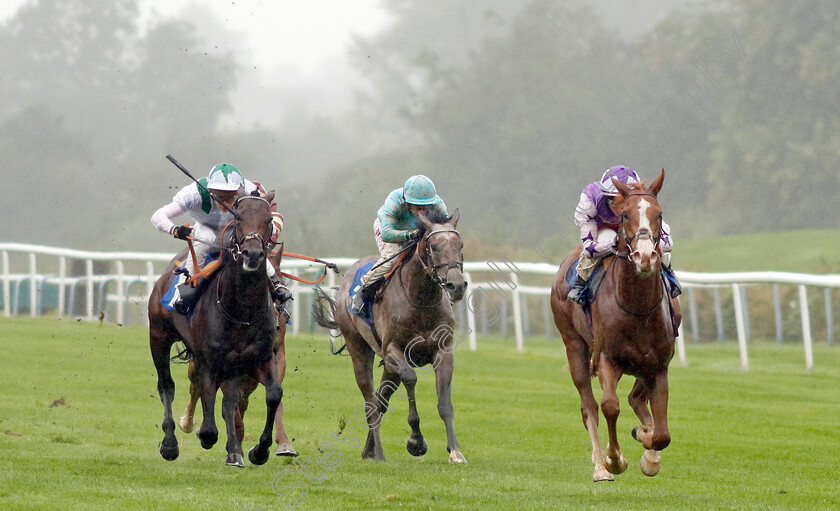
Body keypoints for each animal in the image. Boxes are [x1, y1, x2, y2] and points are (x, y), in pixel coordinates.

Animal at [150, 191, 282, 468]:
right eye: (238, 217)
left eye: (268, 220)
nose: (253, 254)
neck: (242, 310)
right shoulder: (210, 359)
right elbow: (207, 397)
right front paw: (205, 434)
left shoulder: (259, 358)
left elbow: (273, 394)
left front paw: (259, 450)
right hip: (159, 336)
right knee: (167, 385)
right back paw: (170, 444)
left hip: (232, 366)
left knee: (229, 401)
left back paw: (234, 451)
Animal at [176, 247, 296, 456]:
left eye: (278, 287)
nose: (275, 325)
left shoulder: (276, 357)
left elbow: (275, 398)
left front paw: (283, 443)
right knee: (196, 388)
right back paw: (189, 423)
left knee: (241, 400)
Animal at [314, 210, 470, 462]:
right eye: (434, 246)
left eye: (460, 245)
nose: (456, 285)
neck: (420, 300)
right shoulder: (393, 350)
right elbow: (411, 379)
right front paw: (416, 441)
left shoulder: (443, 352)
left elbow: (445, 403)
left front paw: (455, 451)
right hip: (360, 350)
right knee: (370, 402)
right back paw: (378, 452)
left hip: (388, 367)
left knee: (381, 399)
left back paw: (368, 450)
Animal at [552, 172, 684, 484]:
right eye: (625, 215)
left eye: (659, 214)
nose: (645, 256)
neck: (637, 308)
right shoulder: (606, 358)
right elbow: (609, 406)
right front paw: (615, 460)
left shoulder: (658, 365)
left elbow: (662, 433)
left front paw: (649, 453)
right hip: (574, 345)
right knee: (589, 406)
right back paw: (600, 466)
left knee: (636, 399)